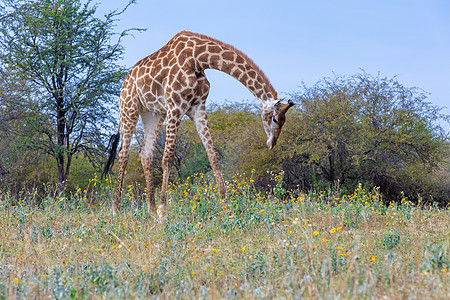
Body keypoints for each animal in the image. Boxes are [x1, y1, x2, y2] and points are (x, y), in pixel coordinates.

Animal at [102, 31, 296, 218]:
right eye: (275, 119)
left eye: (284, 121)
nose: (272, 143)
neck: (197, 58)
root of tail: (125, 82)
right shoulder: (176, 106)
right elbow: (168, 158)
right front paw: (163, 211)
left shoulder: (198, 108)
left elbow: (213, 155)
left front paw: (227, 208)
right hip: (129, 108)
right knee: (123, 154)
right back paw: (116, 210)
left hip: (153, 114)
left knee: (145, 153)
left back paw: (150, 211)